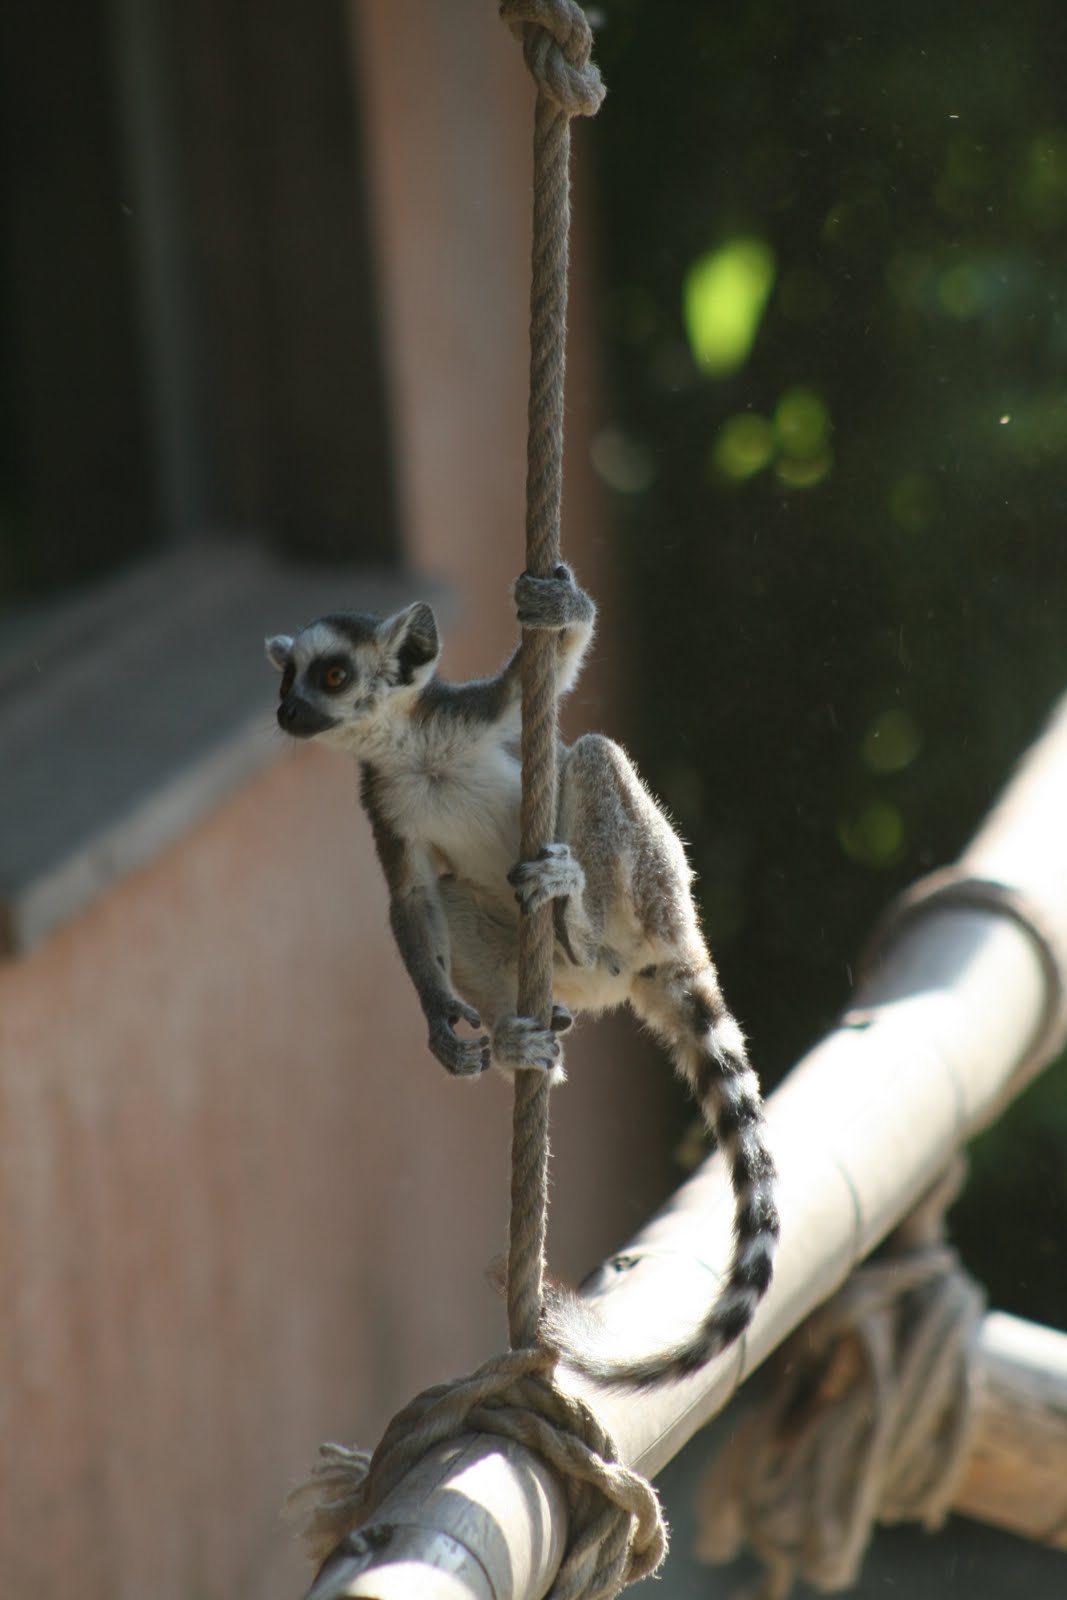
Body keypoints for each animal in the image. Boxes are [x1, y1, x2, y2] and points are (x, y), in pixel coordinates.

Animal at [266, 564, 779, 1387]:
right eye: (287, 676)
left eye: (332, 675)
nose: (286, 710)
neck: (412, 750)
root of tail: (671, 947)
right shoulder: (384, 802)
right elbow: (412, 898)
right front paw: (440, 1020)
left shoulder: (472, 715)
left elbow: (552, 668)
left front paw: (560, 607)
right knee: (455, 899)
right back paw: (526, 1041)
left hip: (658, 893)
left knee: (592, 756)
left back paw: (576, 915)